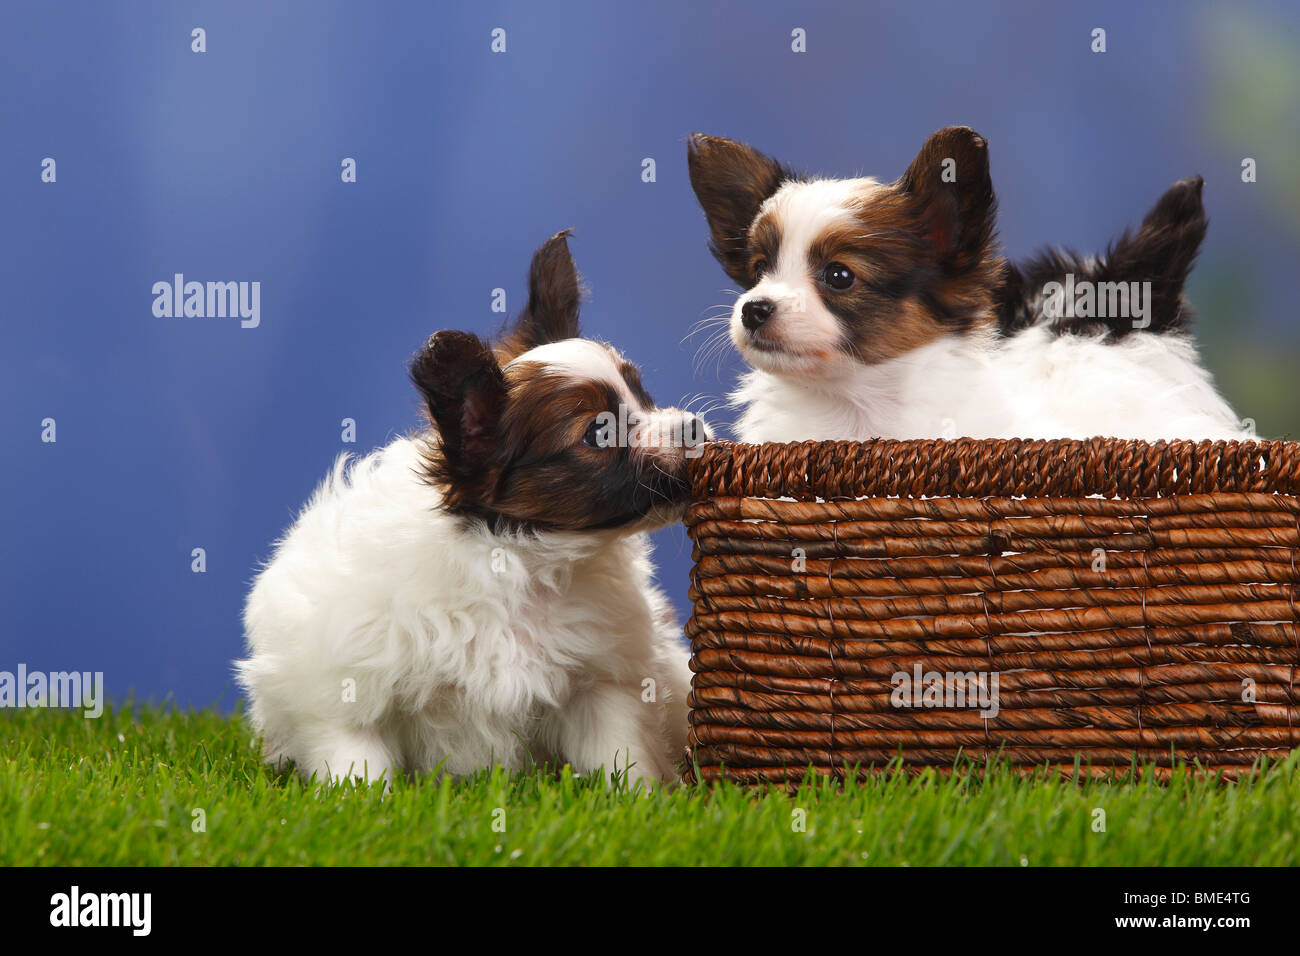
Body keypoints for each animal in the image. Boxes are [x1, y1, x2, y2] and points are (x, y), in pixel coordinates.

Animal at [233, 231, 702, 785]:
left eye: (643, 393)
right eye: (597, 432)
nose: (693, 426)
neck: (518, 561)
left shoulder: (601, 685)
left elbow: (620, 759)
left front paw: (640, 797)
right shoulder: (348, 691)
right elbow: (359, 765)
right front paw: (359, 801)